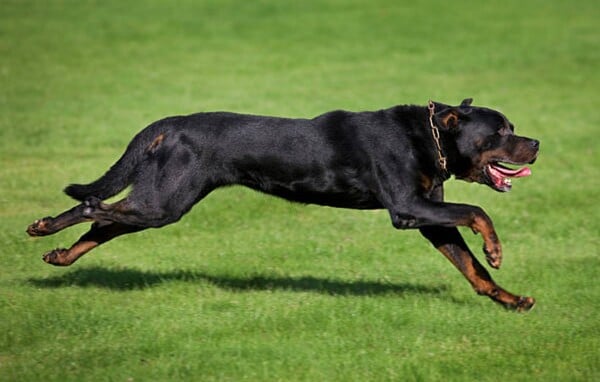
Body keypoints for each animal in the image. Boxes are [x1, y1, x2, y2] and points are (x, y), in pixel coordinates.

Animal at [25, 98, 540, 310]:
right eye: (500, 131)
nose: (536, 143)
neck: (427, 138)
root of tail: (167, 125)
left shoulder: (431, 218)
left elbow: (472, 269)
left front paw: (511, 299)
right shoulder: (407, 209)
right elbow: (479, 213)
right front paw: (495, 247)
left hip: (161, 197)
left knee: (102, 222)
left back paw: (56, 249)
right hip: (165, 201)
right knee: (94, 206)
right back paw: (50, 228)